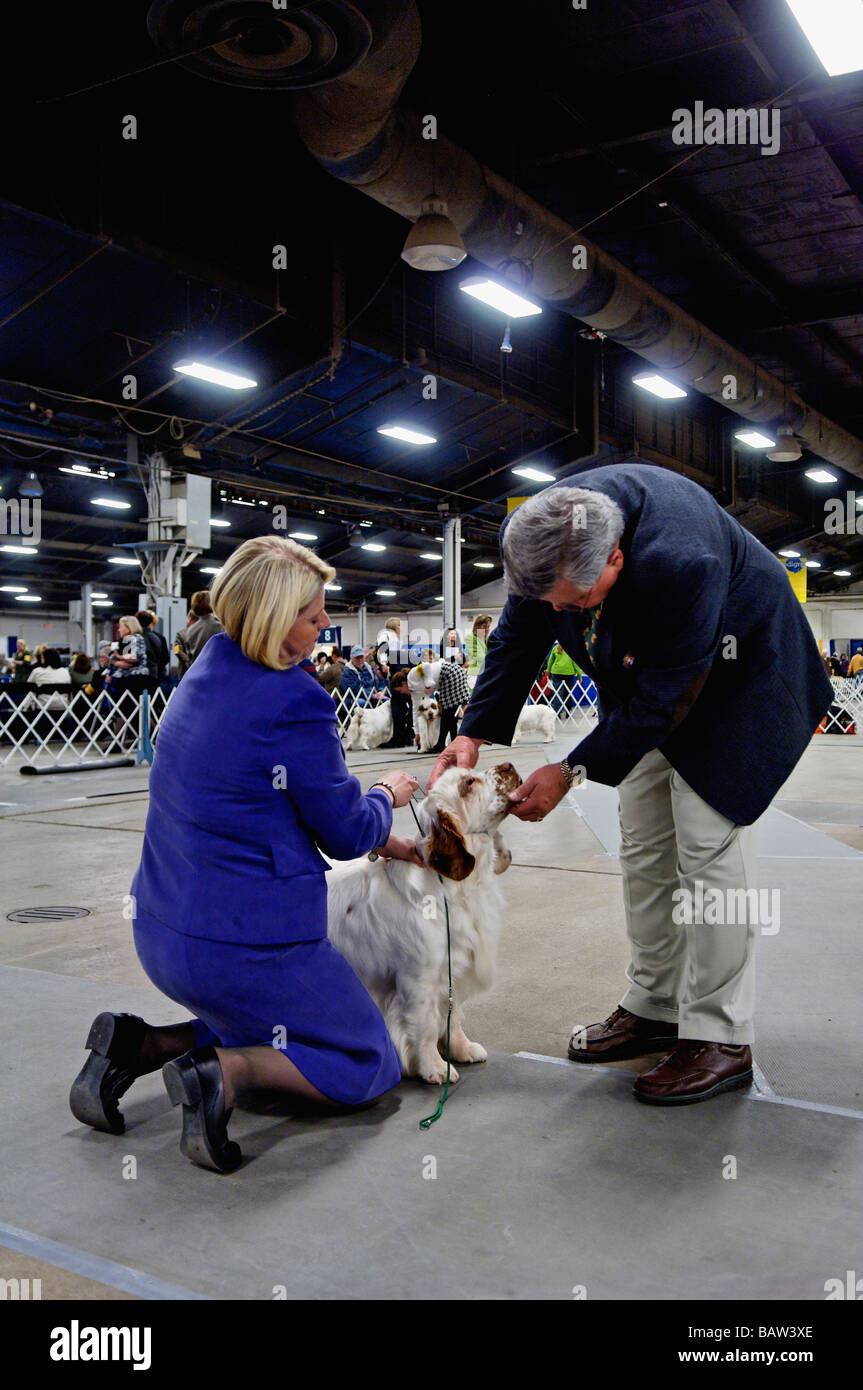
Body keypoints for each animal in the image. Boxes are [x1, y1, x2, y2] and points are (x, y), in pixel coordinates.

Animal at [326, 767, 516, 1078]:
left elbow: (453, 1017)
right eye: (468, 783)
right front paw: (434, 1068)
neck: (457, 888)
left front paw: (462, 1050)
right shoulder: (419, 980)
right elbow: (425, 1027)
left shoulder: (452, 970)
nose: (508, 766)